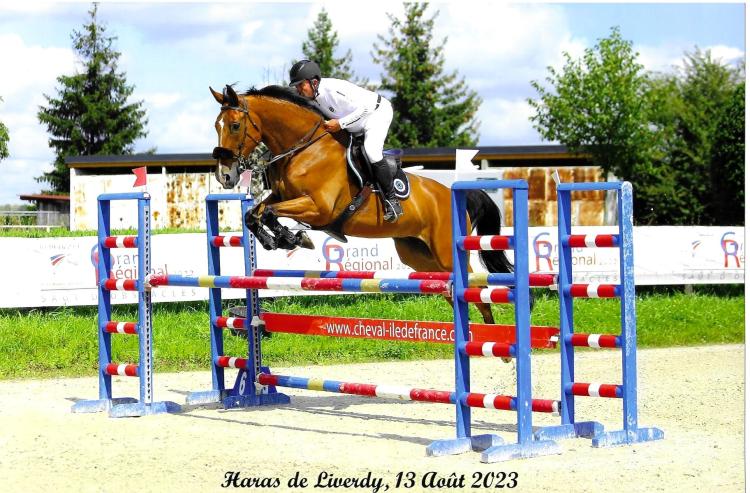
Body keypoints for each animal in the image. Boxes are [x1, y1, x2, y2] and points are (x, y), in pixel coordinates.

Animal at [210, 84, 516, 325]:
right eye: (216, 126)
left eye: (235, 126)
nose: (225, 176)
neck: (304, 148)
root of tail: (451, 194)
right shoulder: (284, 196)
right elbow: (255, 213)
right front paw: (281, 239)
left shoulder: (319, 208)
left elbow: (269, 212)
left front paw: (291, 238)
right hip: (419, 255)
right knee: (450, 289)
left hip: (446, 252)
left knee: (477, 288)